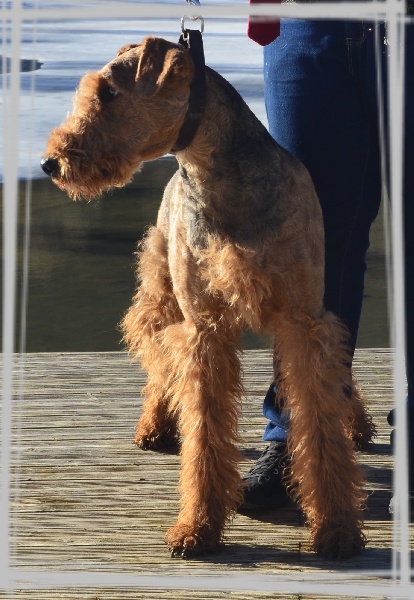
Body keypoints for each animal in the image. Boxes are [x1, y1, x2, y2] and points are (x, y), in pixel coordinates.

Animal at [41, 34, 376, 556]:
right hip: (162, 294)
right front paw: (196, 527)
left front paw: (338, 528)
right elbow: (203, 431)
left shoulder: (304, 320)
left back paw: (356, 424)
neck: (217, 178)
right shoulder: (204, 328)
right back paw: (154, 424)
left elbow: (320, 424)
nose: (50, 163)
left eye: (109, 93)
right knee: (159, 358)